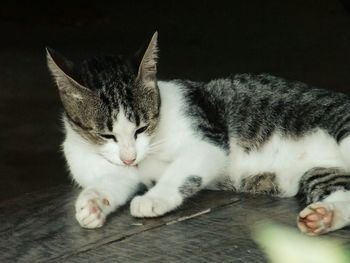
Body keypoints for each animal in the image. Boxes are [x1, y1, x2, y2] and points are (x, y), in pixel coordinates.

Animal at [45, 32, 350, 236]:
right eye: (105, 135)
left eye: (142, 127)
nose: (130, 158)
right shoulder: (119, 173)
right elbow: (113, 183)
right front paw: (92, 205)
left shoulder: (208, 140)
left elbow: (181, 171)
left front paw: (154, 198)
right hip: (320, 172)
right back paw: (323, 216)